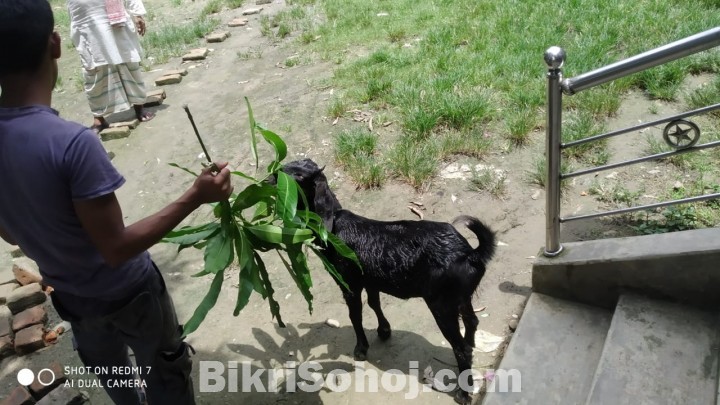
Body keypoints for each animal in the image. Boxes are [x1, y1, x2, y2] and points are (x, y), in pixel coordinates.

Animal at [280, 159, 496, 404]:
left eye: (298, 177)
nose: (271, 176)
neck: (333, 226)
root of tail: (471, 254)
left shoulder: (348, 282)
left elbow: (355, 314)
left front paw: (361, 349)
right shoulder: (370, 279)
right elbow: (374, 303)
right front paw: (384, 331)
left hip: (442, 303)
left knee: (460, 347)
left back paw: (463, 392)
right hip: (461, 296)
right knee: (472, 321)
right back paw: (472, 345)